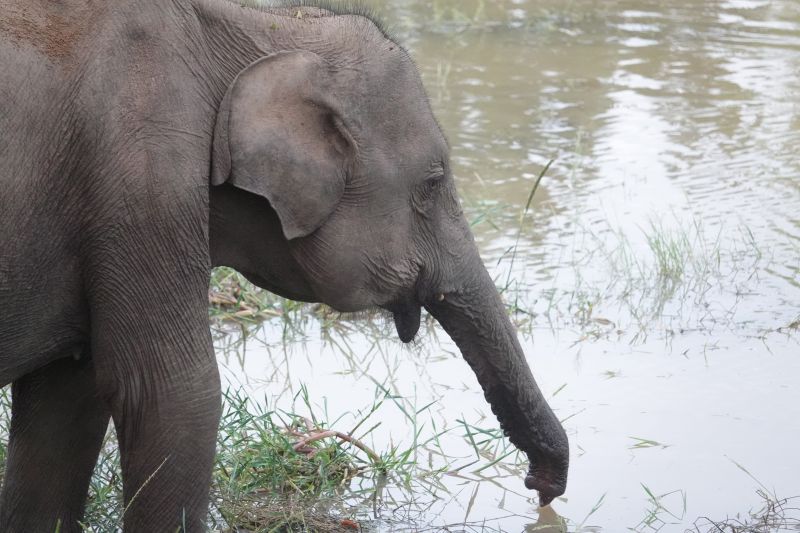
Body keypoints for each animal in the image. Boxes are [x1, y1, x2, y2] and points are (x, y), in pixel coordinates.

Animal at [0, 0, 569, 530]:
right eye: (431, 185)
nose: (539, 489)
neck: (257, 26)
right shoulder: (144, 182)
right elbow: (176, 397)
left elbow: (67, 397)